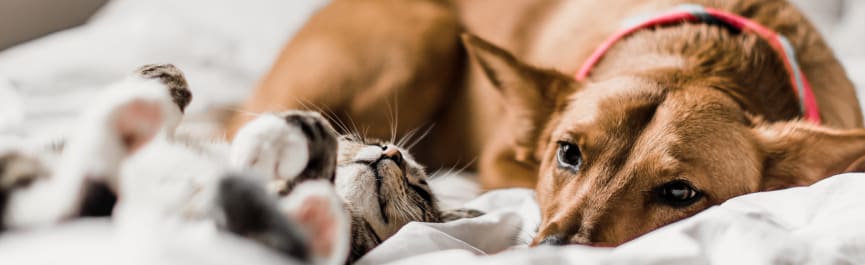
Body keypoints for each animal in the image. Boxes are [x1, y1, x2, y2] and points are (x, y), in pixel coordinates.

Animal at [228, 0, 864, 246]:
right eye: (568, 153)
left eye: (681, 192)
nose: (553, 251)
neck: (702, 56)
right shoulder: (500, 160)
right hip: (422, 35)